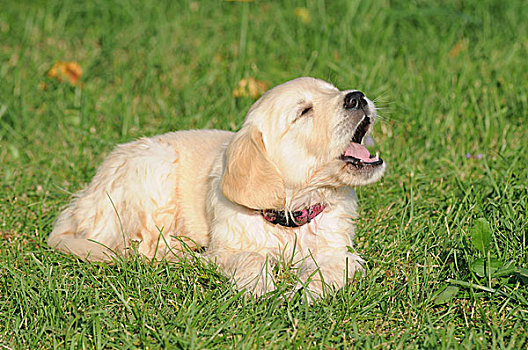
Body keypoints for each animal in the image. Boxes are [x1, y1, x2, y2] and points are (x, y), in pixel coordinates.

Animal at [48, 78, 384, 300]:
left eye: (334, 90)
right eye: (304, 111)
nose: (357, 96)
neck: (290, 209)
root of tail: (82, 200)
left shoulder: (336, 249)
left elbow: (329, 268)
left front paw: (305, 295)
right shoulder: (230, 247)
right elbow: (252, 259)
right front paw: (261, 290)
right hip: (153, 167)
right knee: (141, 246)